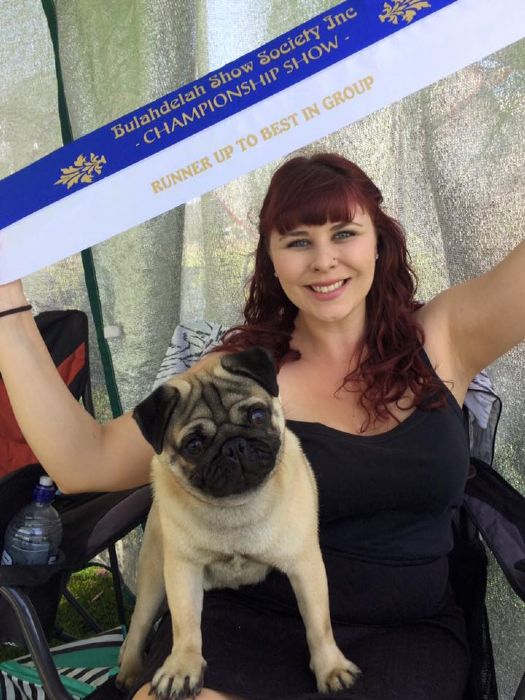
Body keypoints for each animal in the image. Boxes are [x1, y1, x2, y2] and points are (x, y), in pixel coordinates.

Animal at [117, 347, 360, 698]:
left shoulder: (305, 564)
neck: (236, 508)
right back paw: (129, 670)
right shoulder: (183, 569)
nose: (233, 445)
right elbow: (185, 623)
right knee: (139, 623)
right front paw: (181, 668)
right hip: (153, 571)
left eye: (257, 416)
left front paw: (331, 669)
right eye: (194, 445)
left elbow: (318, 622)